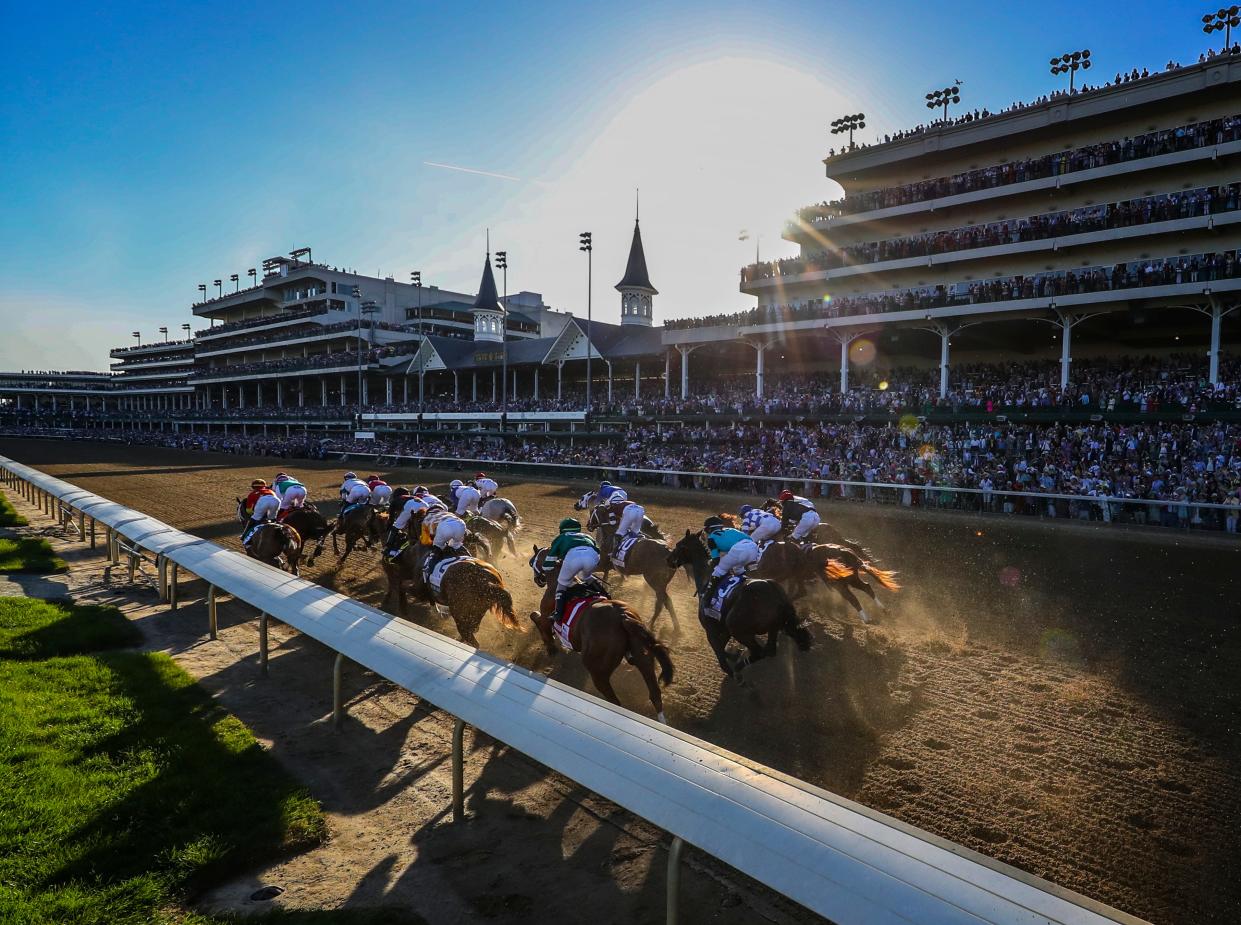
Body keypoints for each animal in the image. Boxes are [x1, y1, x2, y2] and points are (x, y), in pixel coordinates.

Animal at [528, 543, 675, 720]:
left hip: (598, 671)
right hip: (643, 658)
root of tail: (622, 616)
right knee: (655, 695)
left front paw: (550, 647)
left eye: (532, 562)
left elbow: (536, 617)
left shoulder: (545, 616)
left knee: (615, 702)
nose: (537, 580)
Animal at [665, 526, 809, 680]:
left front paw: (730, 666)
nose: (668, 559)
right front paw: (734, 655)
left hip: (739, 629)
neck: (705, 578)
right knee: (769, 651)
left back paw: (739, 667)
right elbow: (722, 647)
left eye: (678, 545)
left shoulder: (711, 629)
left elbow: (719, 651)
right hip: (771, 626)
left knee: (758, 651)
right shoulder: (724, 628)